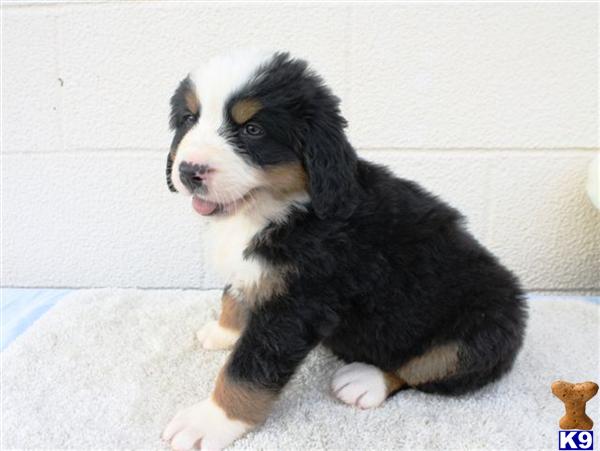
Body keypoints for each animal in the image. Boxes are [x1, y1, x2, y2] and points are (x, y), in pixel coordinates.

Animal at [162, 50, 528, 451]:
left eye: (252, 130)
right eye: (189, 119)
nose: (189, 171)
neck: (279, 207)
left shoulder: (297, 304)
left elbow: (248, 369)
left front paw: (210, 421)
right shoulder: (258, 272)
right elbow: (234, 295)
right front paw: (224, 331)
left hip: (482, 331)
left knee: (423, 366)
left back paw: (365, 381)